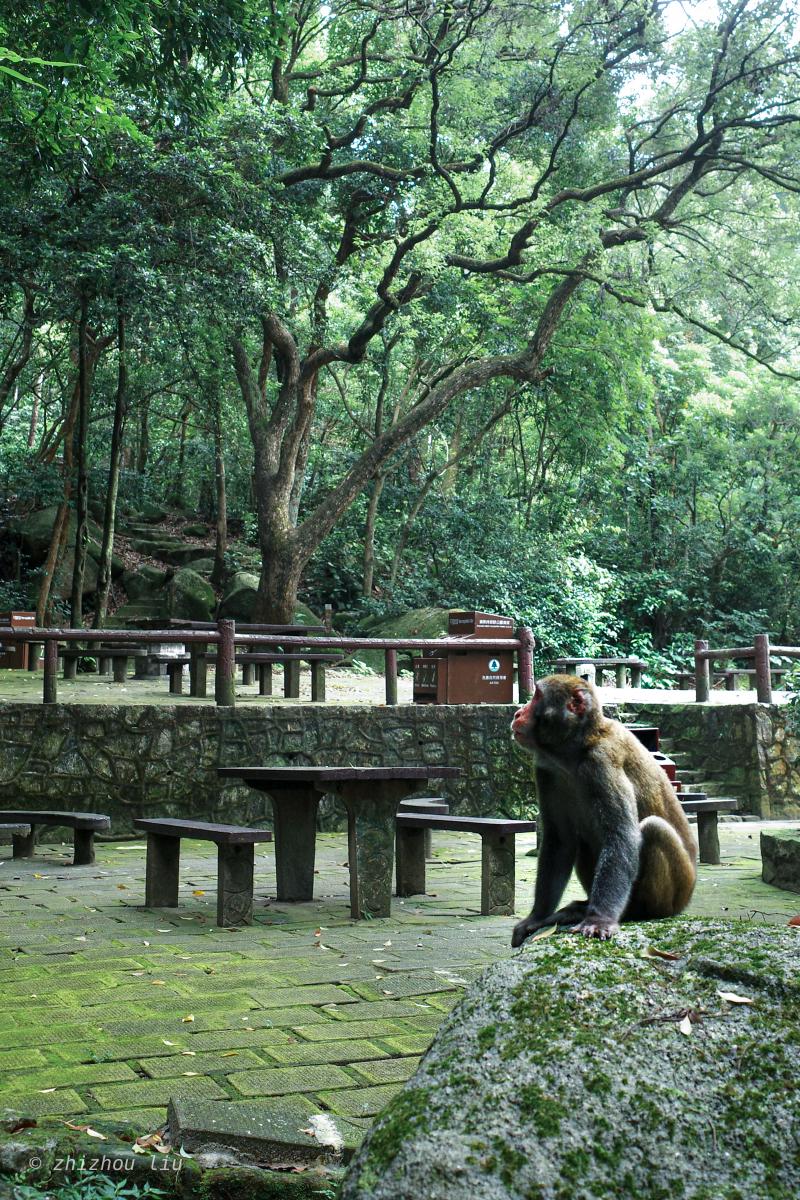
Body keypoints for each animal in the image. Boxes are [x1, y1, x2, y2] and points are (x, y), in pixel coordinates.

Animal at [513, 676, 695, 945]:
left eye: (536, 696)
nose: (517, 712)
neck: (575, 750)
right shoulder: (546, 770)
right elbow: (560, 841)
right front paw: (536, 917)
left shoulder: (602, 763)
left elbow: (621, 836)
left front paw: (599, 919)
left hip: (679, 891)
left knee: (653, 829)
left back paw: (636, 912)